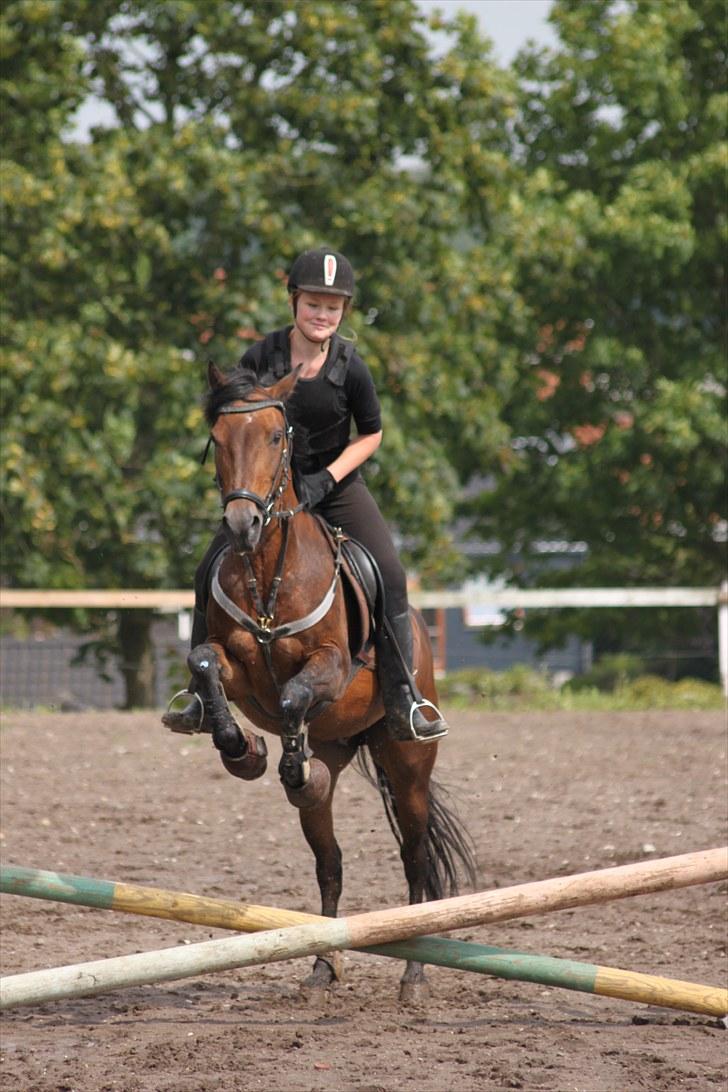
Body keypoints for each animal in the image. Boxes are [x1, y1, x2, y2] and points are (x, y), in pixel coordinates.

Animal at [175, 362, 478, 1000]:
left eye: (275, 436)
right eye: (217, 438)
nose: (242, 524)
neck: (267, 568)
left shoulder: (331, 666)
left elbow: (294, 692)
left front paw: (287, 762)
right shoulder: (235, 668)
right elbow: (207, 665)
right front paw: (244, 752)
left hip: (406, 763)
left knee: (415, 859)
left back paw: (413, 975)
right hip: (340, 754)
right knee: (329, 860)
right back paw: (322, 964)